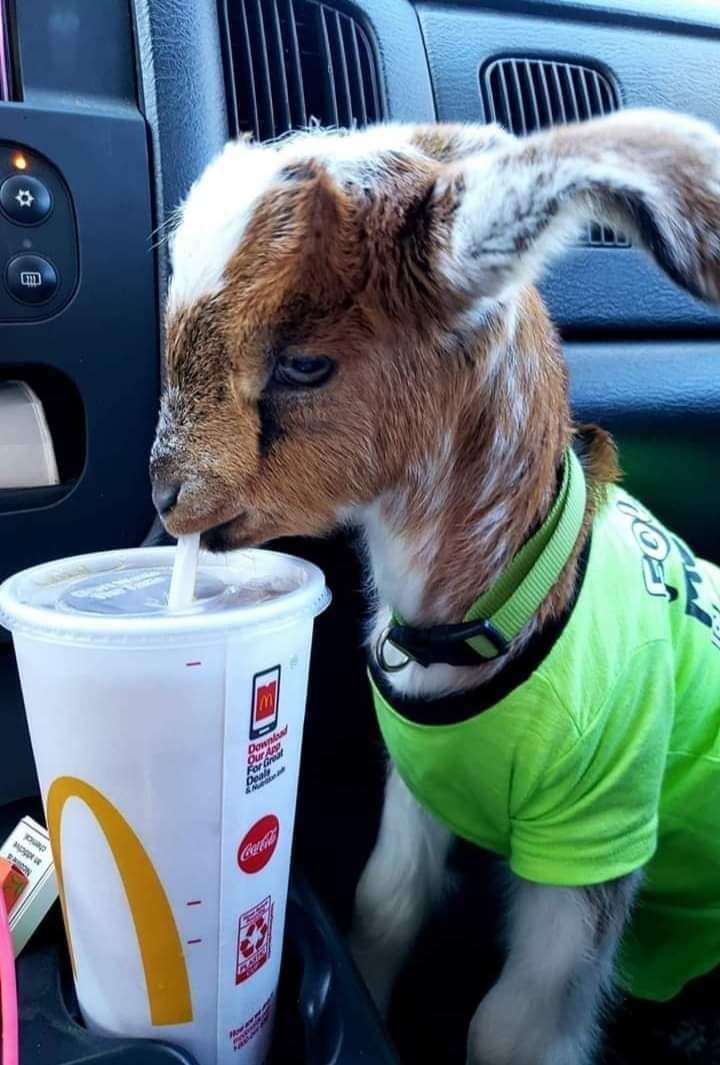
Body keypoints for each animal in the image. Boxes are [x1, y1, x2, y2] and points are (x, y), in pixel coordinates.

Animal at [151, 110, 720, 1065]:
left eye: (304, 365)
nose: (165, 493)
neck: (503, 604)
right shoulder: (419, 783)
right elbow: (384, 905)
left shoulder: (597, 832)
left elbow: (511, 1028)